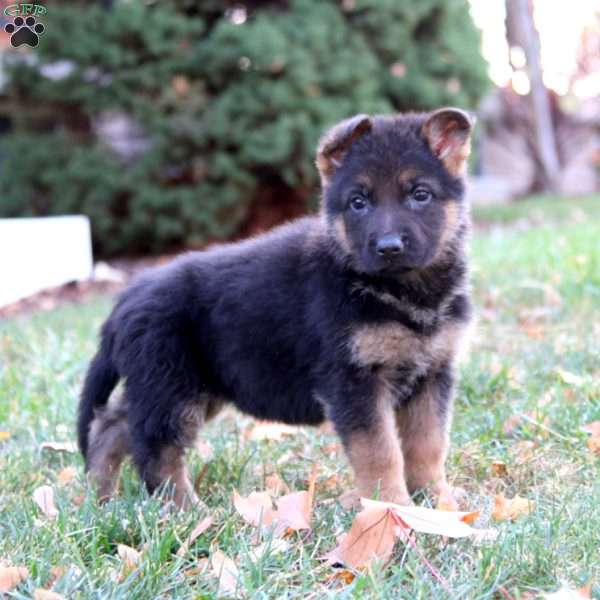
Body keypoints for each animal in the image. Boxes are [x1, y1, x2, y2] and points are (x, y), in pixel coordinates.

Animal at [78, 106, 474, 506]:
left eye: (420, 195)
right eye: (358, 203)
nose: (389, 247)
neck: (402, 292)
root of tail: (124, 301)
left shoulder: (432, 374)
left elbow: (428, 445)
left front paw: (438, 503)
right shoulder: (354, 381)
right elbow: (380, 452)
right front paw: (391, 508)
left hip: (183, 387)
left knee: (113, 424)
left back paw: (100, 497)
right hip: (172, 389)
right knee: (154, 449)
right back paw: (184, 508)